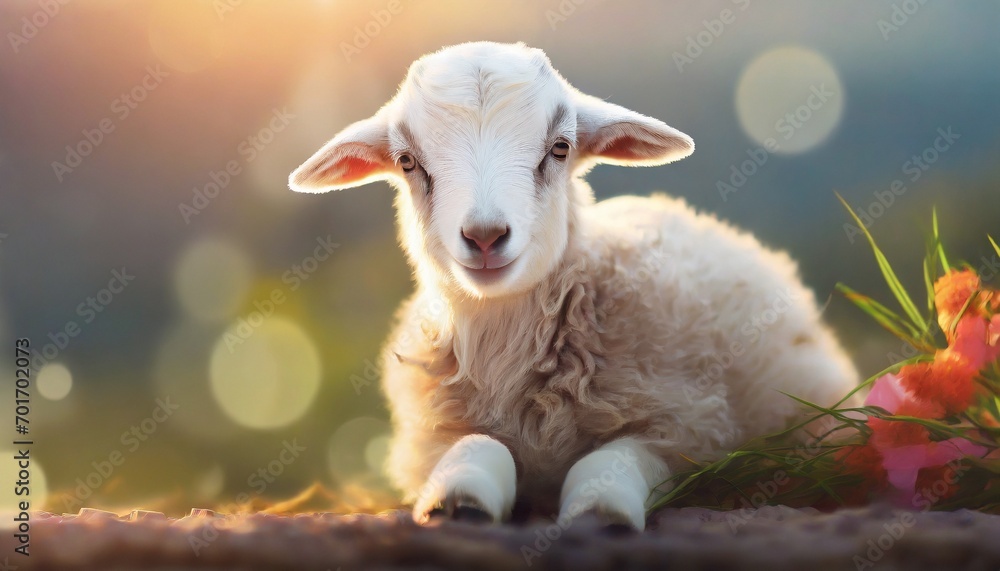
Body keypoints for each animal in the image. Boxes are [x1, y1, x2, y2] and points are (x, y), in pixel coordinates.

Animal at [289, 41, 858, 530]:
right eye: (408, 161)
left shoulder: (687, 430)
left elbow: (609, 464)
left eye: (559, 148)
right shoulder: (426, 441)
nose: (485, 236)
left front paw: (600, 511)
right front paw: (460, 499)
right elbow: (480, 447)